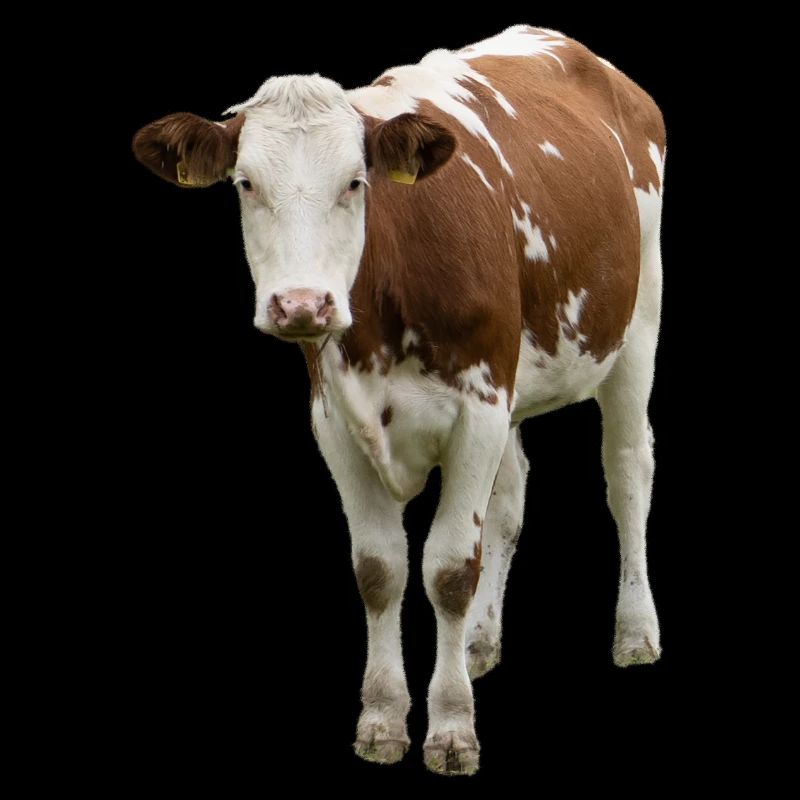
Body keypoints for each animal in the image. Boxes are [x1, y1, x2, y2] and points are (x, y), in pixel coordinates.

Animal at [133, 25, 665, 776]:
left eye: (356, 183)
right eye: (245, 184)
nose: (302, 304)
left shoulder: (477, 407)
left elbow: (449, 568)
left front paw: (451, 729)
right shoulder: (334, 419)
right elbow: (380, 569)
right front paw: (383, 719)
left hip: (637, 324)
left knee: (626, 473)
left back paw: (635, 630)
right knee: (510, 499)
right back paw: (479, 642)